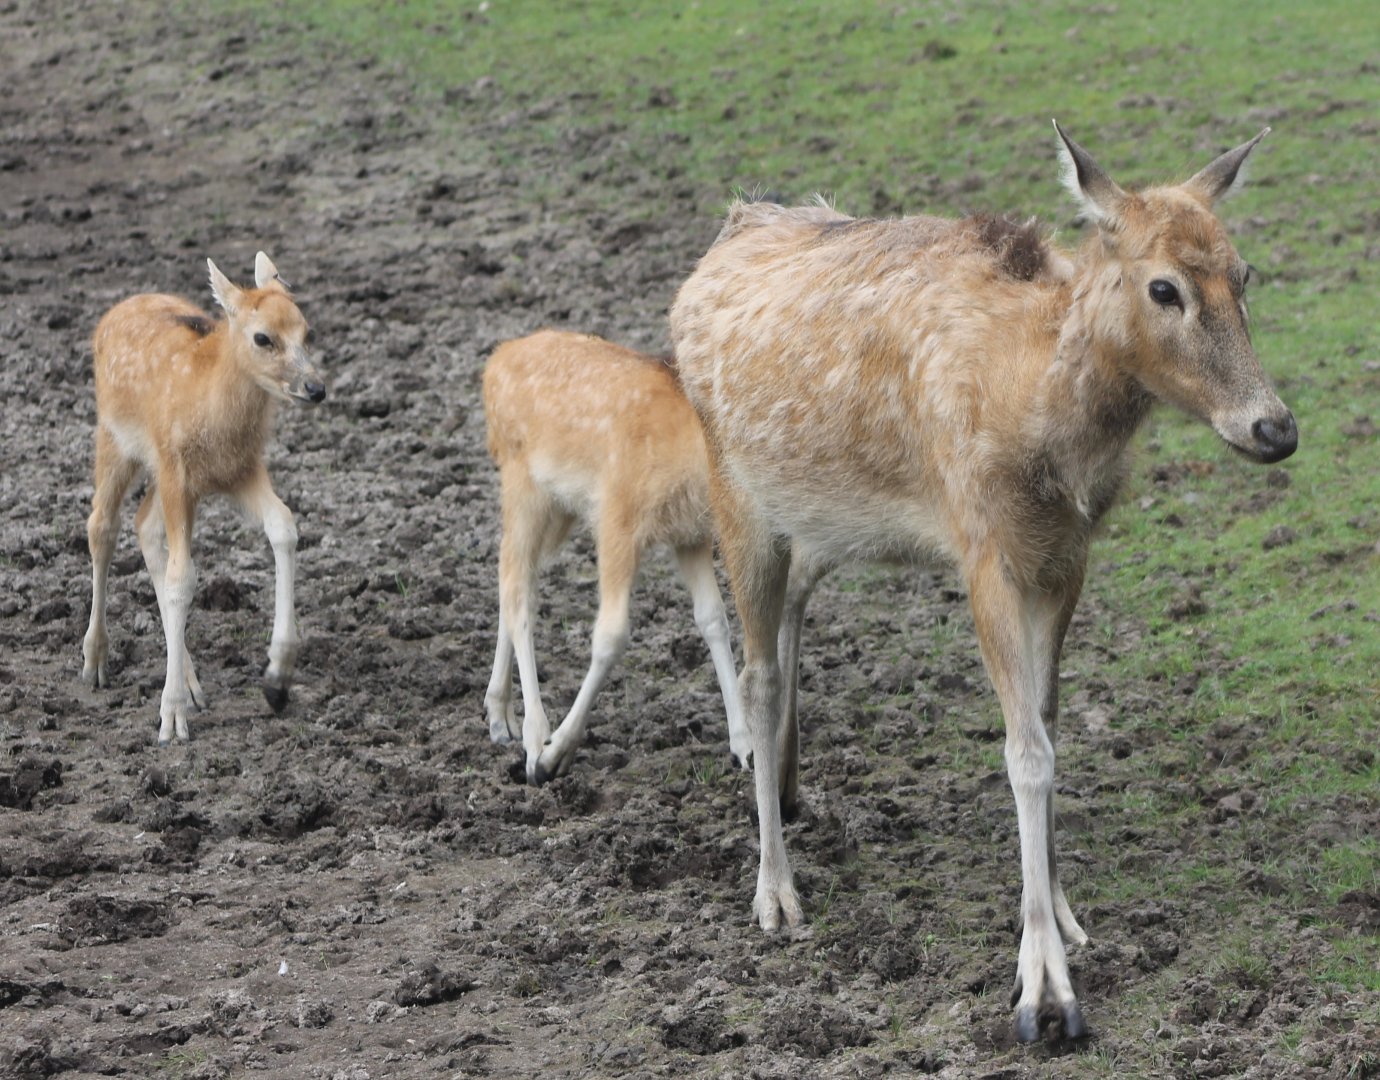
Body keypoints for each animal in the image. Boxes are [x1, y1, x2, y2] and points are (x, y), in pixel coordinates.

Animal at [81, 252, 326, 746]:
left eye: (307, 331)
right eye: (262, 337)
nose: (315, 389)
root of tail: (114, 311)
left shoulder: (240, 469)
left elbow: (284, 526)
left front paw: (278, 678)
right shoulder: (178, 472)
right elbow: (182, 579)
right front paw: (171, 718)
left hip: (158, 472)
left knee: (143, 526)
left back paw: (191, 680)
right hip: (116, 439)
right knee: (102, 527)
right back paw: (96, 659)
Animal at [482, 329, 750, 785]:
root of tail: (495, 363)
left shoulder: (691, 534)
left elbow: (714, 619)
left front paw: (744, 745)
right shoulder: (618, 517)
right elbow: (611, 635)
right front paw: (555, 754)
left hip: (558, 506)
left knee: (518, 580)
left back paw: (500, 717)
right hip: (522, 483)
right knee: (516, 590)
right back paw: (534, 739)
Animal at [668, 123, 1295, 1042]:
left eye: (1244, 274)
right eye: (1164, 287)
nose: (1274, 428)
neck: (1042, 424)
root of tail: (730, 227)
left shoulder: (1067, 556)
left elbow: (1049, 721)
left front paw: (1067, 916)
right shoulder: (982, 547)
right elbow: (1024, 750)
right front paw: (1045, 992)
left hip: (814, 520)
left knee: (792, 622)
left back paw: (789, 788)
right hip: (734, 492)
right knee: (756, 674)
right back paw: (775, 891)